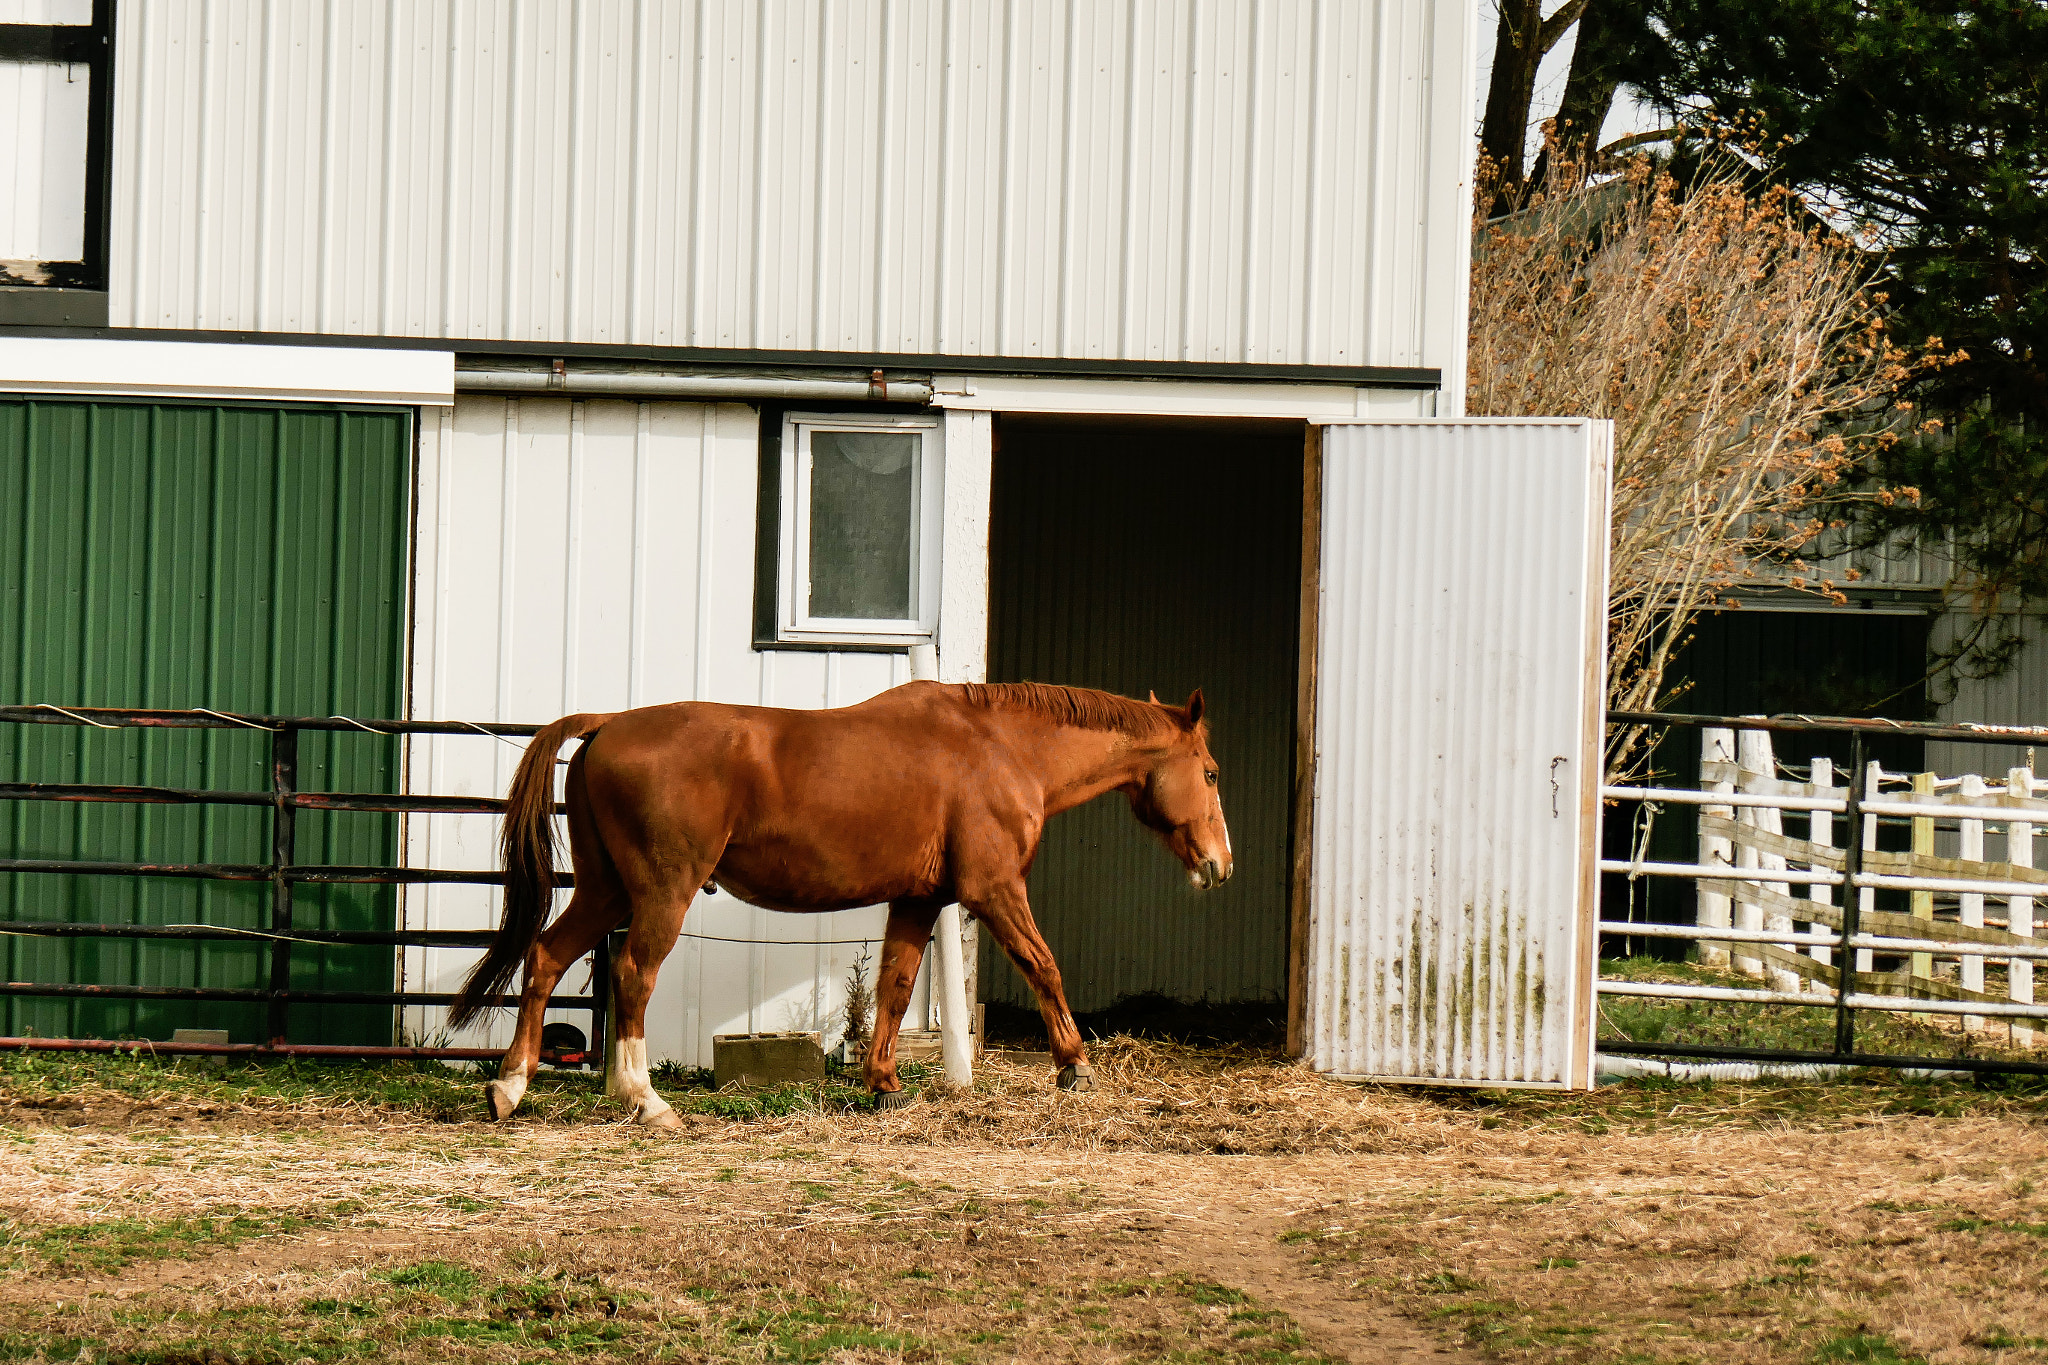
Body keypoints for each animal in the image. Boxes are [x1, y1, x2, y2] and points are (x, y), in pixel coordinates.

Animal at [448, 679, 1228, 1121]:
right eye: (1213, 772)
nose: (1220, 863)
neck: (1000, 747)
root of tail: (609, 721)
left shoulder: (918, 899)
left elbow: (895, 986)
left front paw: (883, 1082)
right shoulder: (996, 889)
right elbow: (1044, 966)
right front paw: (1075, 1065)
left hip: (606, 891)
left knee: (545, 958)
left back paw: (511, 1088)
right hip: (660, 892)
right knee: (633, 975)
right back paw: (645, 1100)